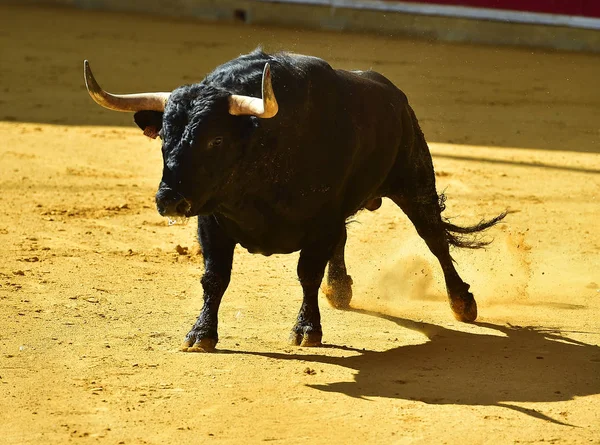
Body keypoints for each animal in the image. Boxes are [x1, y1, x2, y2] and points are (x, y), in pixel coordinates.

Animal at [84, 47, 506, 346]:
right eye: (163, 139)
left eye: (216, 140)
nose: (169, 199)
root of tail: (395, 96)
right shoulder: (211, 220)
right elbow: (214, 276)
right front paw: (200, 334)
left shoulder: (320, 222)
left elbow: (307, 273)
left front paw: (307, 330)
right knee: (348, 238)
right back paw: (340, 289)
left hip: (415, 181)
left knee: (434, 239)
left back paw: (462, 303)